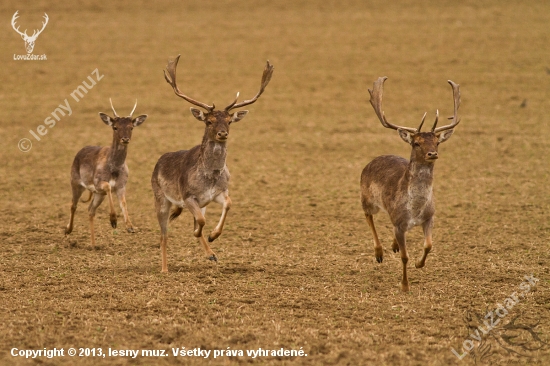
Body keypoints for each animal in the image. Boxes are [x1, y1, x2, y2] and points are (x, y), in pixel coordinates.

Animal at [65, 100, 148, 246]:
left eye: (131, 127)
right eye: (115, 127)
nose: (125, 139)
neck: (114, 169)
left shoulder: (121, 185)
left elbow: (124, 202)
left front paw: (130, 227)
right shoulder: (98, 182)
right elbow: (109, 186)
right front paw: (113, 221)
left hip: (98, 195)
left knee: (90, 210)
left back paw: (93, 245)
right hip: (75, 182)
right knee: (73, 205)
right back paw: (67, 230)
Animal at [152, 54, 274, 272]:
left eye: (229, 120)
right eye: (209, 121)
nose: (222, 133)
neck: (209, 177)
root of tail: (158, 162)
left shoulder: (217, 194)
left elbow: (227, 205)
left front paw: (213, 236)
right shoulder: (188, 196)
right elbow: (199, 221)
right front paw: (203, 234)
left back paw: (210, 253)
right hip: (160, 198)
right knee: (163, 235)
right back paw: (164, 269)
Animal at [362, 77, 462, 292]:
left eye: (437, 142)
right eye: (416, 142)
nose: (432, 153)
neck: (415, 210)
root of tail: (372, 160)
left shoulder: (429, 216)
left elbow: (428, 245)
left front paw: (419, 263)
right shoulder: (399, 224)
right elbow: (404, 257)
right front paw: (405, 285)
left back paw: (392, 246)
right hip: (366, 199)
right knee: (368, 216)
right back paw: (379, 253)